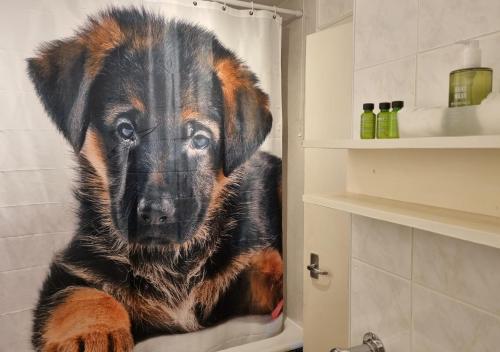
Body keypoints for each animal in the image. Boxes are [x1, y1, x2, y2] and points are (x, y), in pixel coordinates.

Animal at [28, 8, 282, 352]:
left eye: (199, 140)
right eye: (125, 130)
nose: (156, 215)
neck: (171, 263)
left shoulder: (242, 264)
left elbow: (268, 266)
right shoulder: (74, 267)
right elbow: (82, 295)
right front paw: (93, 333)